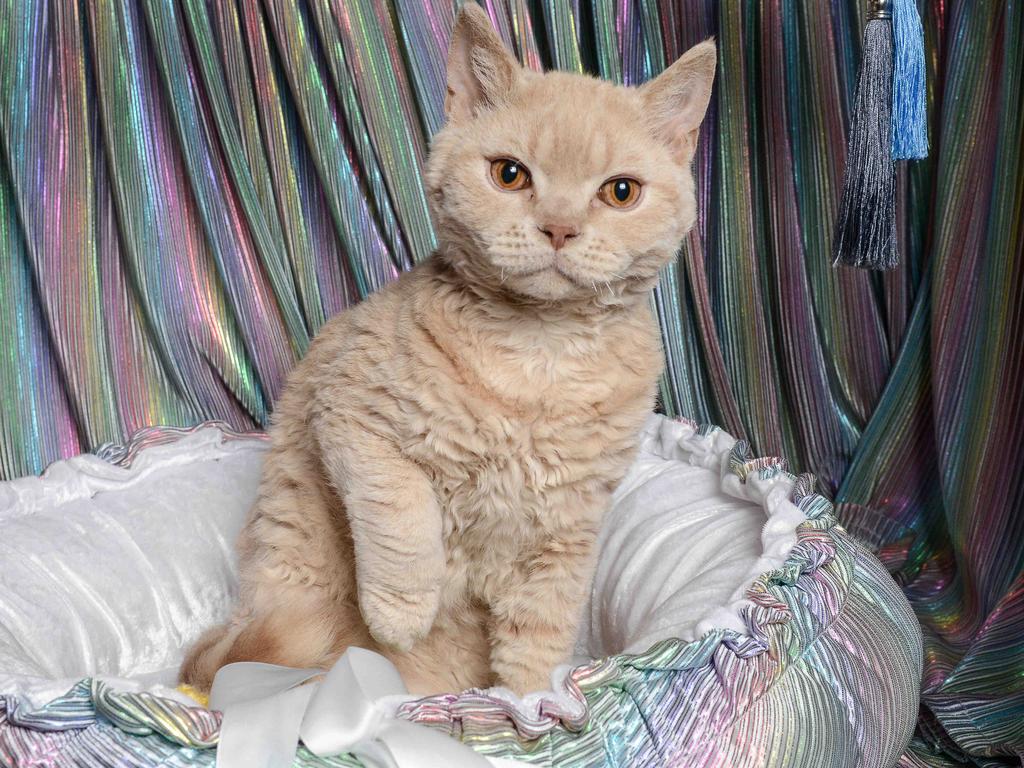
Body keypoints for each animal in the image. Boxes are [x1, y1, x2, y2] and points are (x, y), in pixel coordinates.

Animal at [180, 1, 712, 696]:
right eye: (509, 174)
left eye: (620, 192)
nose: (559, 228)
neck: (539, 354)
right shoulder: (350, 417)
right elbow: (403, 514)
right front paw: (402, 610)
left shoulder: (569, 524)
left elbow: (541, 628)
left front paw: (530, 704)